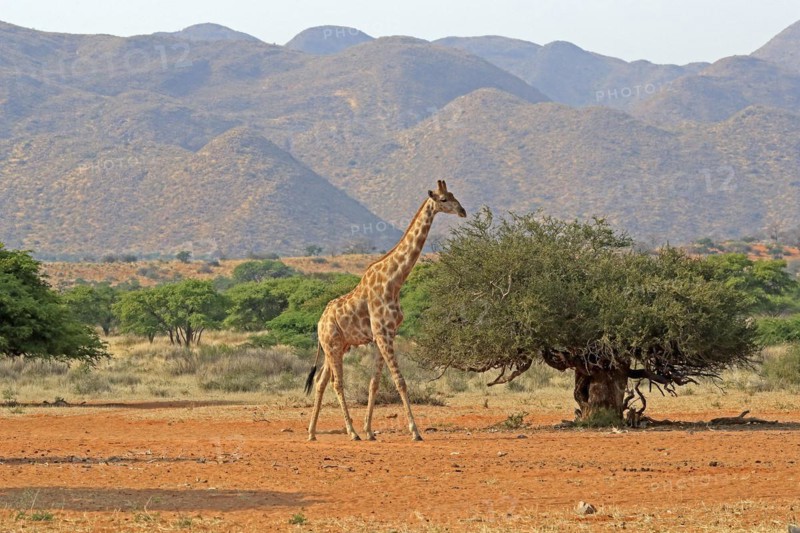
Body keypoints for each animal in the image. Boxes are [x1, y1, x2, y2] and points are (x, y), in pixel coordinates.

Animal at [305, 180, 467, 441]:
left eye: (453, 195)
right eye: (443, 199)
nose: (463, 211)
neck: (395, 280)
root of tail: (319, 322)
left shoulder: (387, 333)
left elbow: (375, 383)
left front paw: (370, 431)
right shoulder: (382, 333)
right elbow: (400, 381)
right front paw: (415, 432)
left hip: (338, 346)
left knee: (320, 381)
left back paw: (312, 433)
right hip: (332, 344)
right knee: (336, 383)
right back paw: (351, 433)